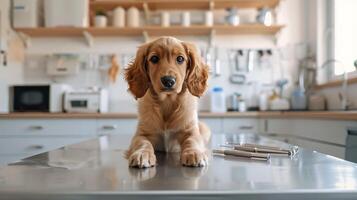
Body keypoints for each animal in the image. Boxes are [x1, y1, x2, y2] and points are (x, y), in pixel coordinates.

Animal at [124, 36, 210, 168]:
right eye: (154, 58)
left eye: (180, 59)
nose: (168, 81)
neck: (167, 102)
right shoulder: (142, 134)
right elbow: (143, 143)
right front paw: (142, 154)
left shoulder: (190, 131)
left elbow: (192, 141)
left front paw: (194, 153)